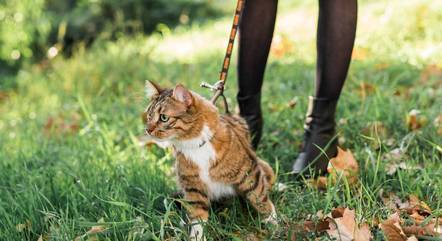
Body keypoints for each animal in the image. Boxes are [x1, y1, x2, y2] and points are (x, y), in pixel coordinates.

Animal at [142, 81, 276, 241]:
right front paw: (197, 237)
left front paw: (273, 222)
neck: (193, 145)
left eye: (163, 118)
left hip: (265, 167)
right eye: (149, 116)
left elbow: (259, 197)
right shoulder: (193, 187)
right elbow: (197, 217)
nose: (147, 130)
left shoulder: (249, 173)